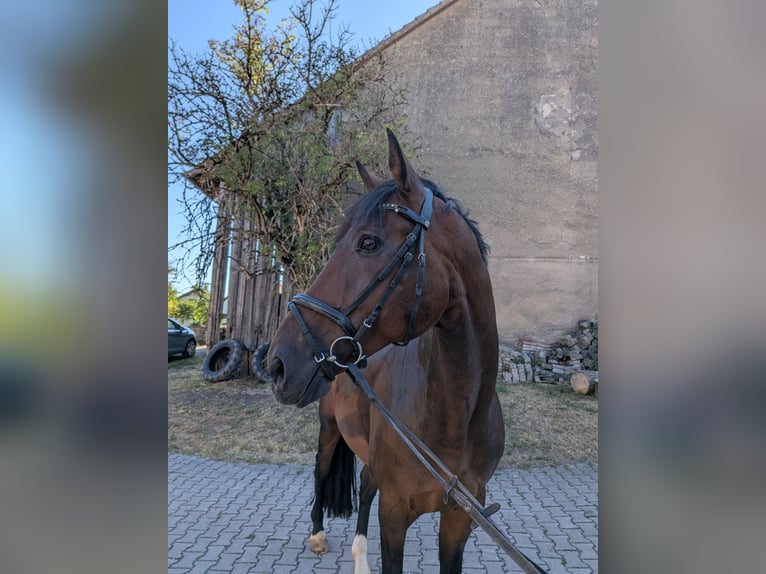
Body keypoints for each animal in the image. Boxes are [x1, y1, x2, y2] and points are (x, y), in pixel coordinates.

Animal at [267, 129, 505, 574]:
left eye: (367, 243)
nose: (276, 363)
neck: (455, 417)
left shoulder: (460, 517)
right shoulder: (395, 513)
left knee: (364, 487)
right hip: (329, 431)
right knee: (321, 474)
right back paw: (318, 534)